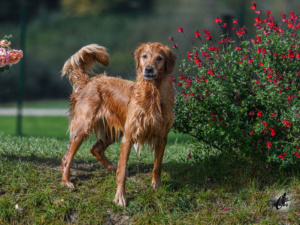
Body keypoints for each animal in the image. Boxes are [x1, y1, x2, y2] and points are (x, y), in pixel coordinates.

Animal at [61, 41, 176, 206]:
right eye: (144, 56)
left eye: (159, 58)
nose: (148, 69)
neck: (152, 94)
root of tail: (89, 81)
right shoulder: (128, 137)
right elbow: (122, 172)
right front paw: (120, 197)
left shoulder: (161, 136)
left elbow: (157, 166)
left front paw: (157, 185)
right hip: (82, 128)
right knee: (66, 158)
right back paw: (66, 181)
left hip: (112, 133)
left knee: (95, 148)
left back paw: (111, 167)